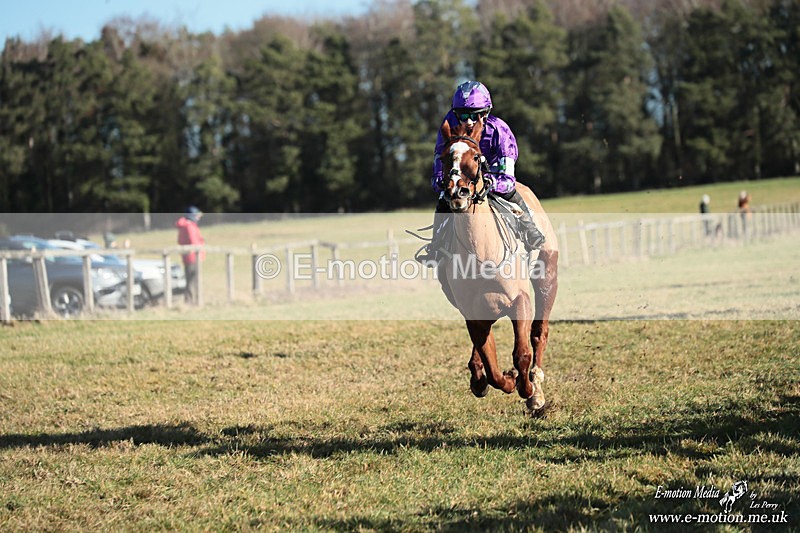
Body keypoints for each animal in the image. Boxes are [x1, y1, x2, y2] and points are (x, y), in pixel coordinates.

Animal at [436, 118, 558, 413]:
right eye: (444, 158)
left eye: (476, 156)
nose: (457, 192)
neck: (481, 253)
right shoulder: (473, 313)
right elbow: (491, 365)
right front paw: (505, 380)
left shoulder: (520, 301)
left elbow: (522, 353)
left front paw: (528, 390)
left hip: (547, 277)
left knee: (539, 334)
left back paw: (536, 387)